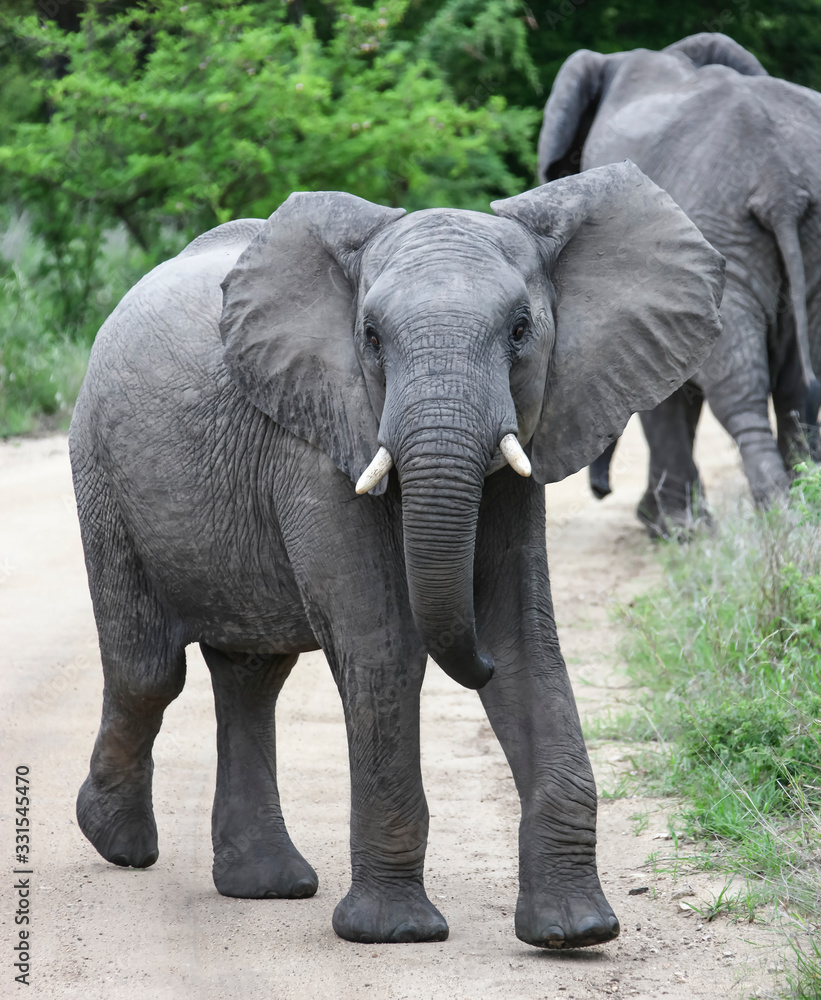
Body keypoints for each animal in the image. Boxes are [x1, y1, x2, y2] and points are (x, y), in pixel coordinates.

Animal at [72, 162, 724, 944]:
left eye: (521, 330)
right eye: (371, 337)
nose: (476, 665)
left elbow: (526, 637)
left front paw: (576, 933)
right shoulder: (317, 436)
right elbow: (383, 644)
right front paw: (395, 933)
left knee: (251, 679)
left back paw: (266, 885)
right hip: (103, 472)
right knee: (148, 672)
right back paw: (116, 842)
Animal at [536, 31, 820, 532]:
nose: (601, 489)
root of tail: (781, 182)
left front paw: (671, 529)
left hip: (720, 230)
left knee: (741, 390)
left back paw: (776, 514)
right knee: (796, 381)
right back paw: (802, 505)